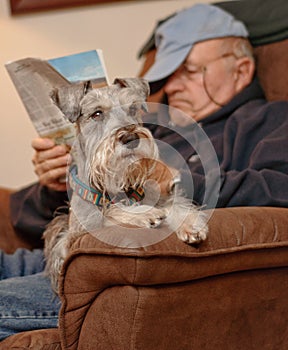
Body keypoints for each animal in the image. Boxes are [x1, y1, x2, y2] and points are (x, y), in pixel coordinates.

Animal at [43, 77, 207, 292]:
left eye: (133, 108)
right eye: (97, 113)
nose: (130, 138)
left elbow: (175, 204)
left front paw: (189, 224)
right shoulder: (76, 237)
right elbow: (111, 215)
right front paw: (145, 214)